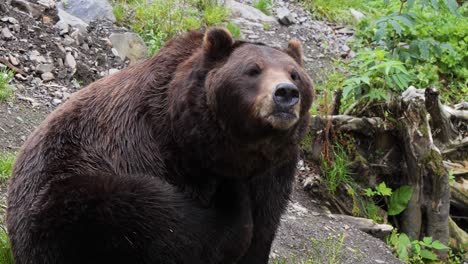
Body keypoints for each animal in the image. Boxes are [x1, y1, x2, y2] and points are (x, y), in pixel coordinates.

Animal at [5, 27, 312, 262]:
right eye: (253, 70)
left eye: (295, 74)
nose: (286, 93)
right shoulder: (170, 155)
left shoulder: (276, 169)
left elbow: (265, 223)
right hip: (71, 194)